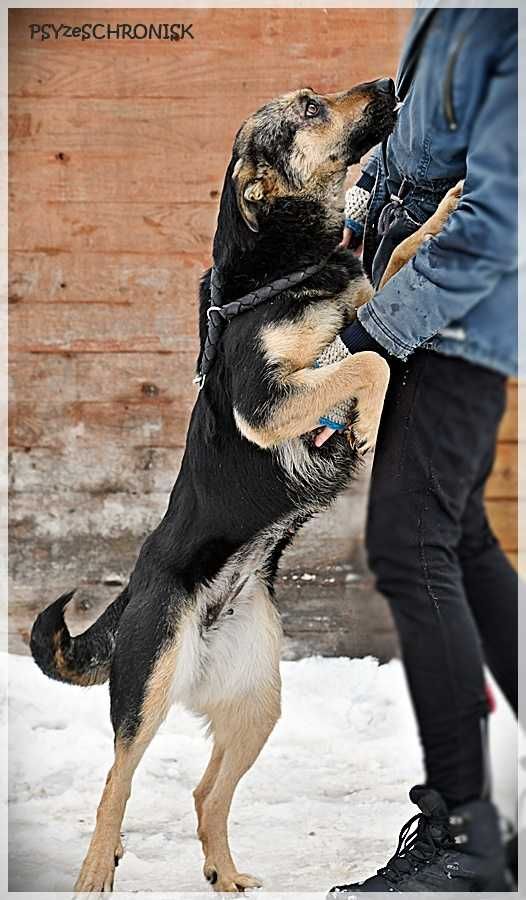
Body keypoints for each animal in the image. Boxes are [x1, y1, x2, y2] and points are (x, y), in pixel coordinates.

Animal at [29, 79, 462, 892]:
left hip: (261, 699)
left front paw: (446, 210)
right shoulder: (268, 403)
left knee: (206, 793)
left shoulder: (359, 311)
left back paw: (225, 874)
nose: (392, 86)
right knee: (116, 782)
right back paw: (97, 870)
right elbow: (370, 363)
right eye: (309, 108)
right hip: (149, 687)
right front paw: (368, 421)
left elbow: (393, 269)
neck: (279, 272)